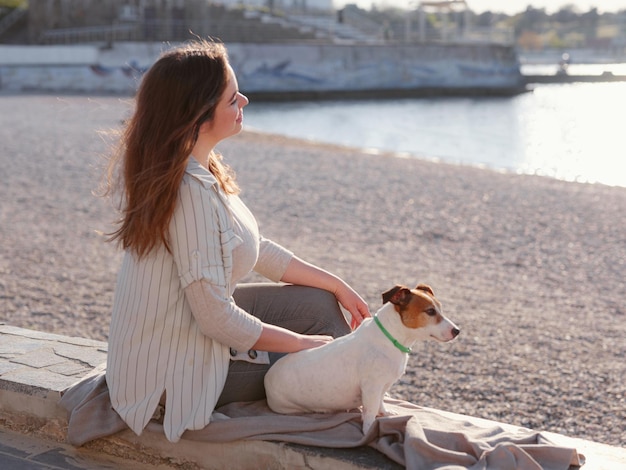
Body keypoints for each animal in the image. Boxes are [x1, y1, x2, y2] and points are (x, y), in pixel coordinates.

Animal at [264, 282, 458, 434]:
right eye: (430, 311)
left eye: (440, 309)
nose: (457, 331)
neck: (390, 338)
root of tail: (267, 379)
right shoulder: (372, 387)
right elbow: (371, 411)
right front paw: (370, 430)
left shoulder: (381, 387)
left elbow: (380, 403)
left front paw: (385, 413)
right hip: (288, 408)